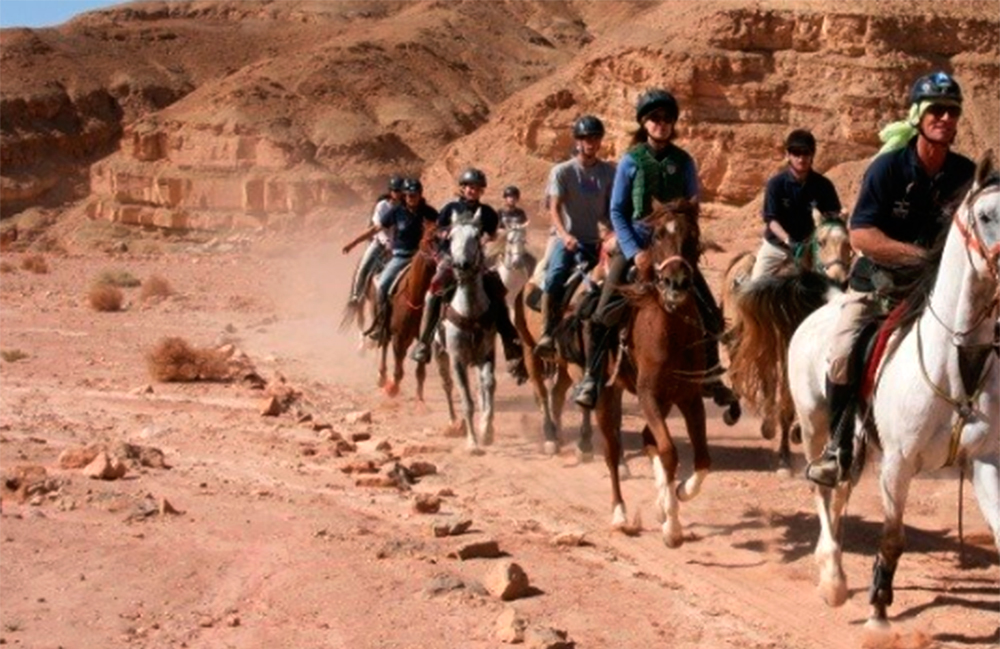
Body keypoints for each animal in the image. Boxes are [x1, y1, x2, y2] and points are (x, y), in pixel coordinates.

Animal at [434, 210, 496, 454]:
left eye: (477, 236)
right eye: (451, 237)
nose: (461, 264)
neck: (469, 312)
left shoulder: (486, 355)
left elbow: (488, 387)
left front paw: (486, 431)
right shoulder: (457, 360)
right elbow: (466, 401)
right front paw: (472, 443)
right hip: (440, 355)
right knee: (447, 386)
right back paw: (453, 422)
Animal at [592, 199, 712, 548]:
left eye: (692, 236)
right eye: (657, 235)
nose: (675, 283)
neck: (671, 331)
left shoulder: (689, 397)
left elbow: (702, 460)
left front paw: (678, 494)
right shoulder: (648, 395)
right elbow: (670, 451)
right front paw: (672, 527)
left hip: (667, 400)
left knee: (648, 437)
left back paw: (660, 501)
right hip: (607, 394)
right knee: (612, 450)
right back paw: (620, 515)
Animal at [720, 213, 852, 470]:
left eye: (847, 244)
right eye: (821, 242)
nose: (839, 280)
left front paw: (796, 432)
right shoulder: (786, 349)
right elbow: (787, 400)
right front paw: (784, 455)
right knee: (739, 363)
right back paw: (738, 413)